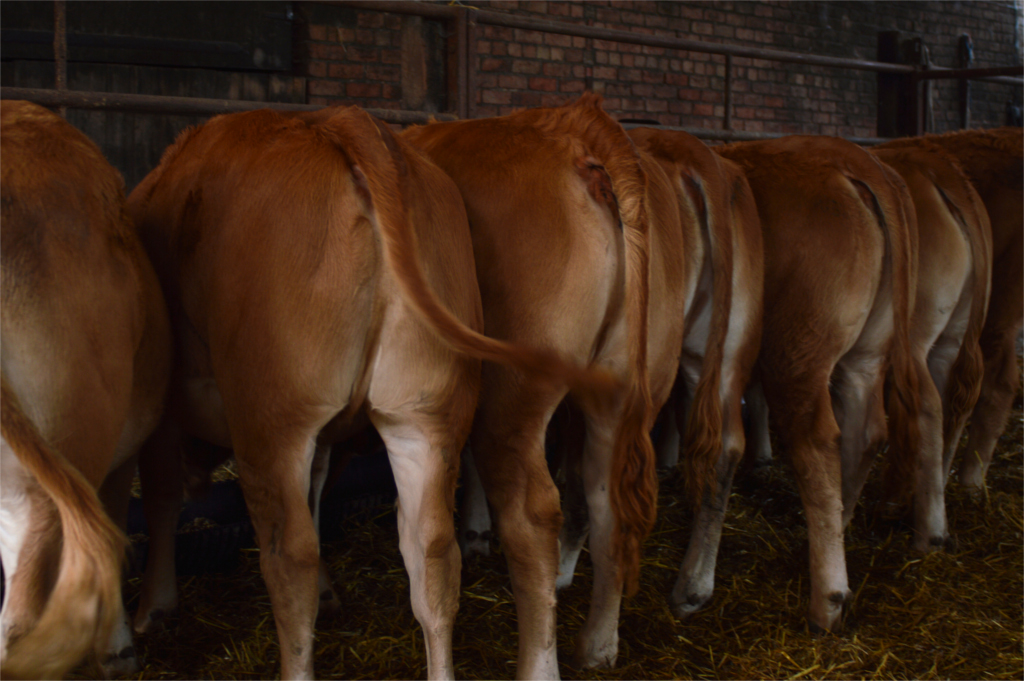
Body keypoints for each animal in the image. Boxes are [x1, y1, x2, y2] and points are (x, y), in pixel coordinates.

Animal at [126, 105, 609, 680]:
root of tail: (340, 124)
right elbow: (318, 493)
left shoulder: (162, 410)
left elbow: (160, 497)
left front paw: (154, 609)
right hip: (424, 413)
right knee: (437, 553)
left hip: (273, 419)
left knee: (290, 555)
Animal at [402, 93, 711, 673]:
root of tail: (576, 127)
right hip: (626, 388)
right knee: (607, 503)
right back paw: (598, 645)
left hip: (513, 393)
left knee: (533, 516)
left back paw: (541, 665)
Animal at [709, 136, 921, 632]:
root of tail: (853, 157)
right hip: (867, 351)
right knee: (867, 432)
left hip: (796, 354)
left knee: (817, 443)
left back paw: (826, 600)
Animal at [870, 141, 992, 549]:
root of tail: (936, 168)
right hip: (953, 333)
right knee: (955, 401)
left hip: (916, 332)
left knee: (927, 404)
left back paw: (927, 531)